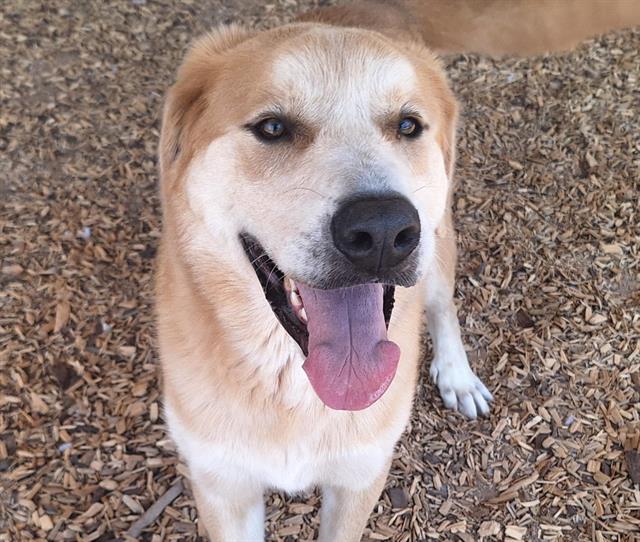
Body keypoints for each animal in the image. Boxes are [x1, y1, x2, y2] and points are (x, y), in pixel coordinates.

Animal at [156, 2, 640, 540]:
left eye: (408, 125)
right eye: (273, 128)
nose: (383, 232)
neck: (296, 390)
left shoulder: (360, 475)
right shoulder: (223, 487)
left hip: (440, 237)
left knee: (442, 306)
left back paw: (458, 375)